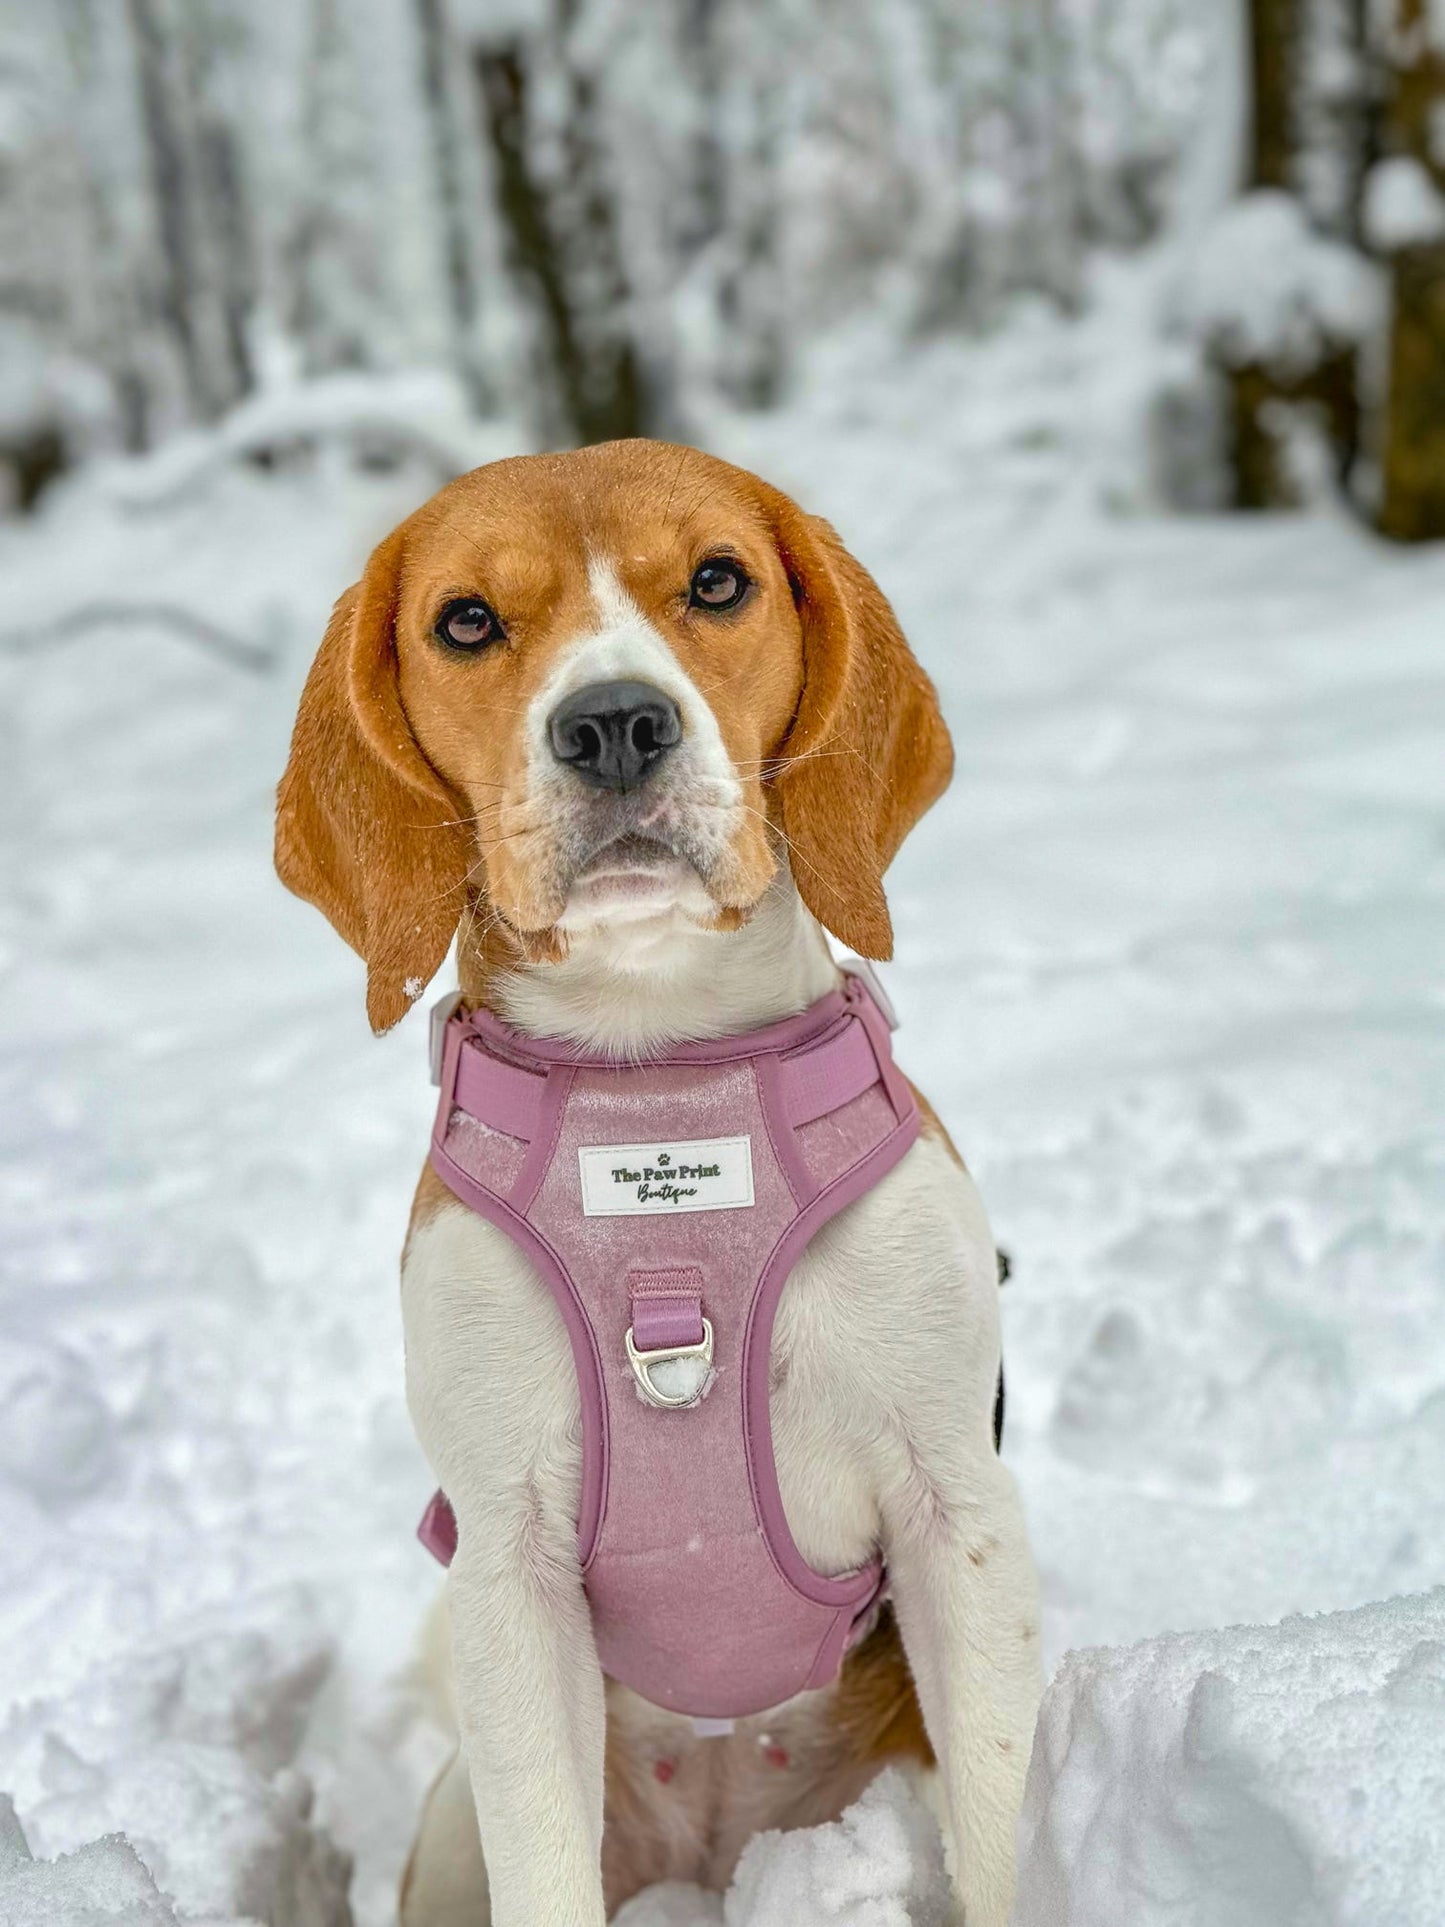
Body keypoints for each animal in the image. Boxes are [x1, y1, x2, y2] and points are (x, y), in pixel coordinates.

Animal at [273, 441, 1040, 1927]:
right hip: (453, 1833)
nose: (614, 723)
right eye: (466, 620)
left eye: (719, 581)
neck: (658, 1066)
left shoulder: (955, 1517)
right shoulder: (510, 1571)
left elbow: (996, 1844)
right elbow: (544, 1863)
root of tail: (719, 1845)